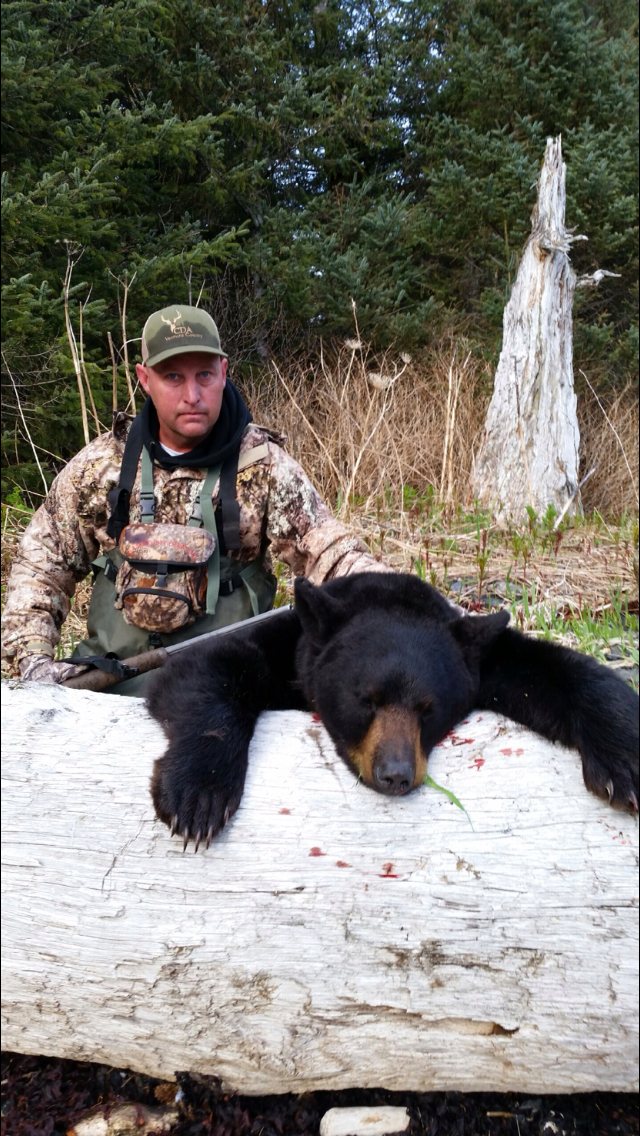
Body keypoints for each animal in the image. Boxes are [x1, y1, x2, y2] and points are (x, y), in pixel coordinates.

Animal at [147, 571, 639, 850]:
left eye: (428, 709)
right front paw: (199, 798)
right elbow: (209, 667)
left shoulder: (480, 659)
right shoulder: (293, 646)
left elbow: (554, 669)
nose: (396, 774)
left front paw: (624, 764)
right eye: (366, 700)